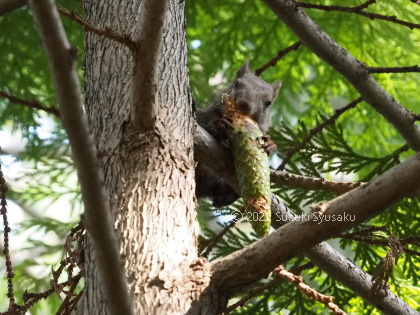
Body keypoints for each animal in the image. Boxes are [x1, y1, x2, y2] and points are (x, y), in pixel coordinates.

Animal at [194, 61, 280, 209]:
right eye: (236, 84)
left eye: (268, 102)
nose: (244, 104)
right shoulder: (203, 117)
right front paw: (220, 125)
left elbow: (221, 199)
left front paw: (270, 144)